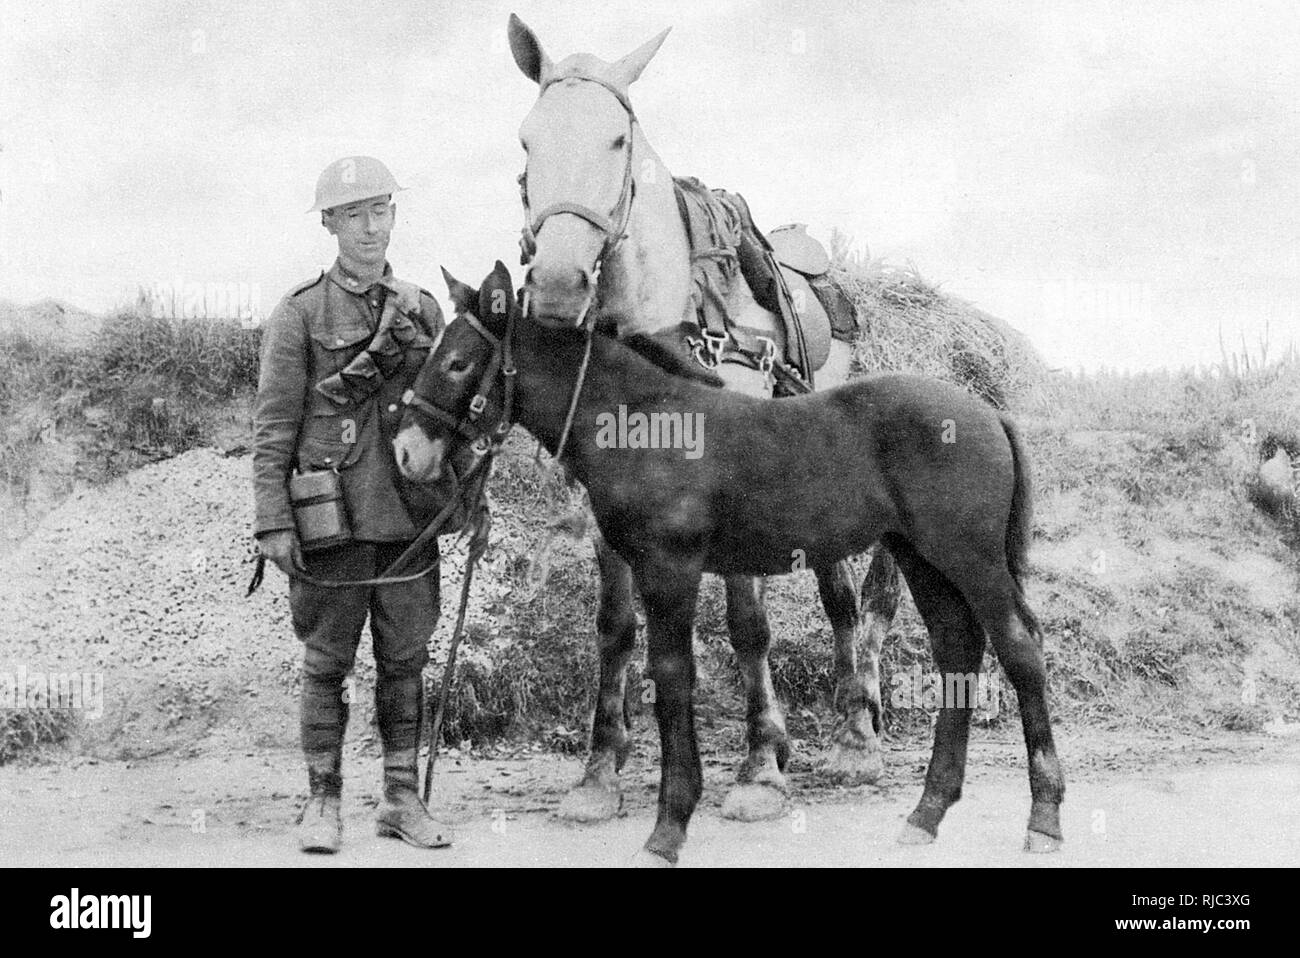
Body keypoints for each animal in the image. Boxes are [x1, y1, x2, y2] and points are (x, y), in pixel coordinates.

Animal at [395, 263, 1066, 868]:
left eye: (457, 363)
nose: (406, 452)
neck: (649, 424)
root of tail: (989, 412)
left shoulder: (671, 569)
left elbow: (672, 679)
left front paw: (667, 832)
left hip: (970, 557)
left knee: (1018, 647)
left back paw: (1044, 818)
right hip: (922, 557)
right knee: (958, 647)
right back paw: (927, 813)